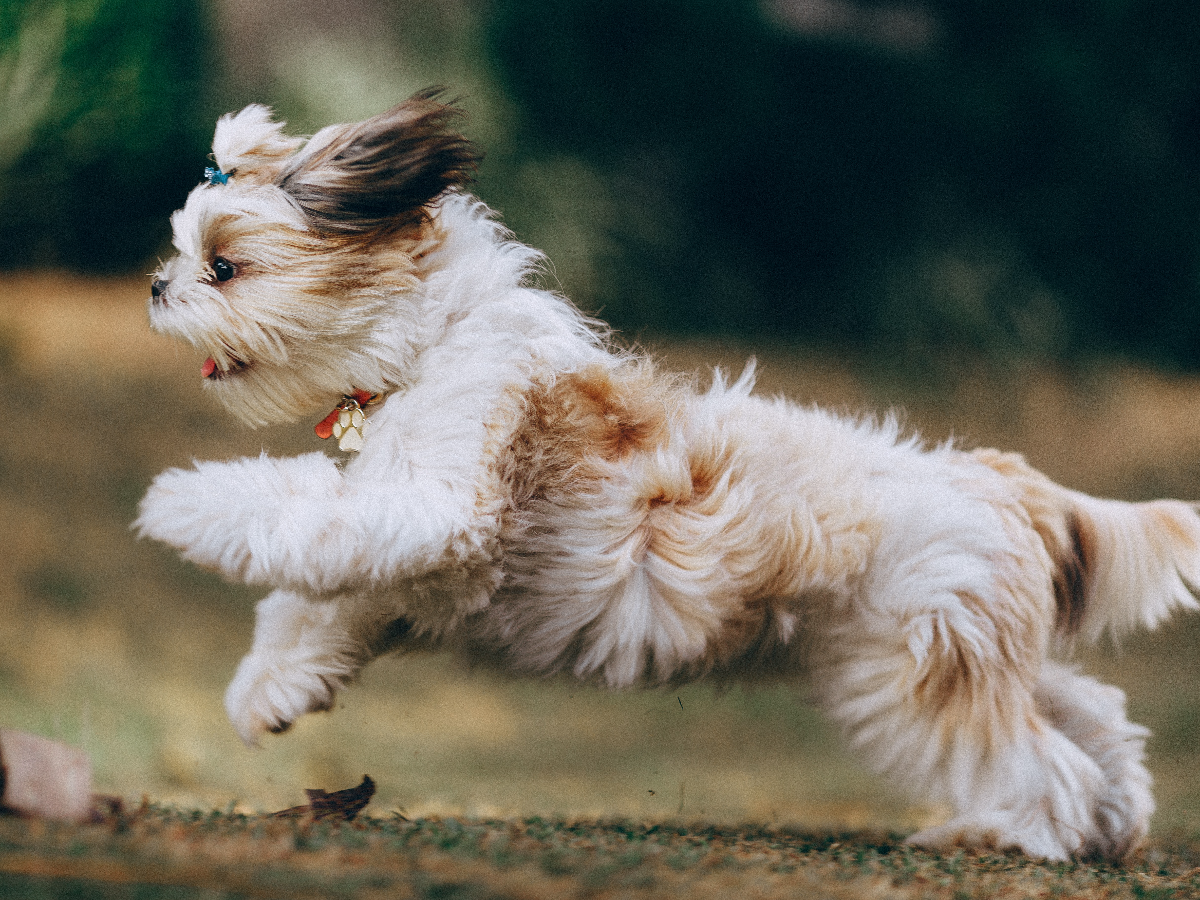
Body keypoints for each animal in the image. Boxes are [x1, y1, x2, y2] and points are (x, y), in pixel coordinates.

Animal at [136, 93, 1200, 868]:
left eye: (224, 266)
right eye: (188, 255)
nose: (156, 285)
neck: (432, 345)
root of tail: (1001, 480)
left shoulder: (437, 507)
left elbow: (294, 511)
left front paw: (179, 502)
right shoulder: (408, 562)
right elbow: (310, 599)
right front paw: (270, 693)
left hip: (915, 674)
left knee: (1041, 763)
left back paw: (1013, 835)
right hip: (967, 645)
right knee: (1093, 719)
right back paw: (1115, 820)